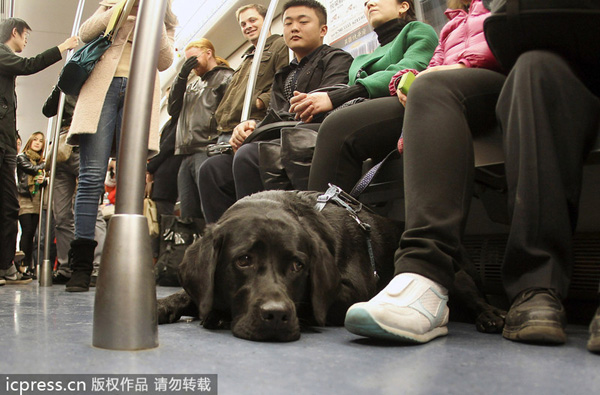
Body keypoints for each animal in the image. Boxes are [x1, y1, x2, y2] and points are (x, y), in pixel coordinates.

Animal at [157, 190, 504, 342]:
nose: (276, 316)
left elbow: (311, 302)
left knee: (476, 297)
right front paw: (166, 305)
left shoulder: (350, 293)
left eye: (297, 266)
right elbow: (189, 293)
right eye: (243, 261)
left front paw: (216, 314)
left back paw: (491, 316)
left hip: (455, 274)